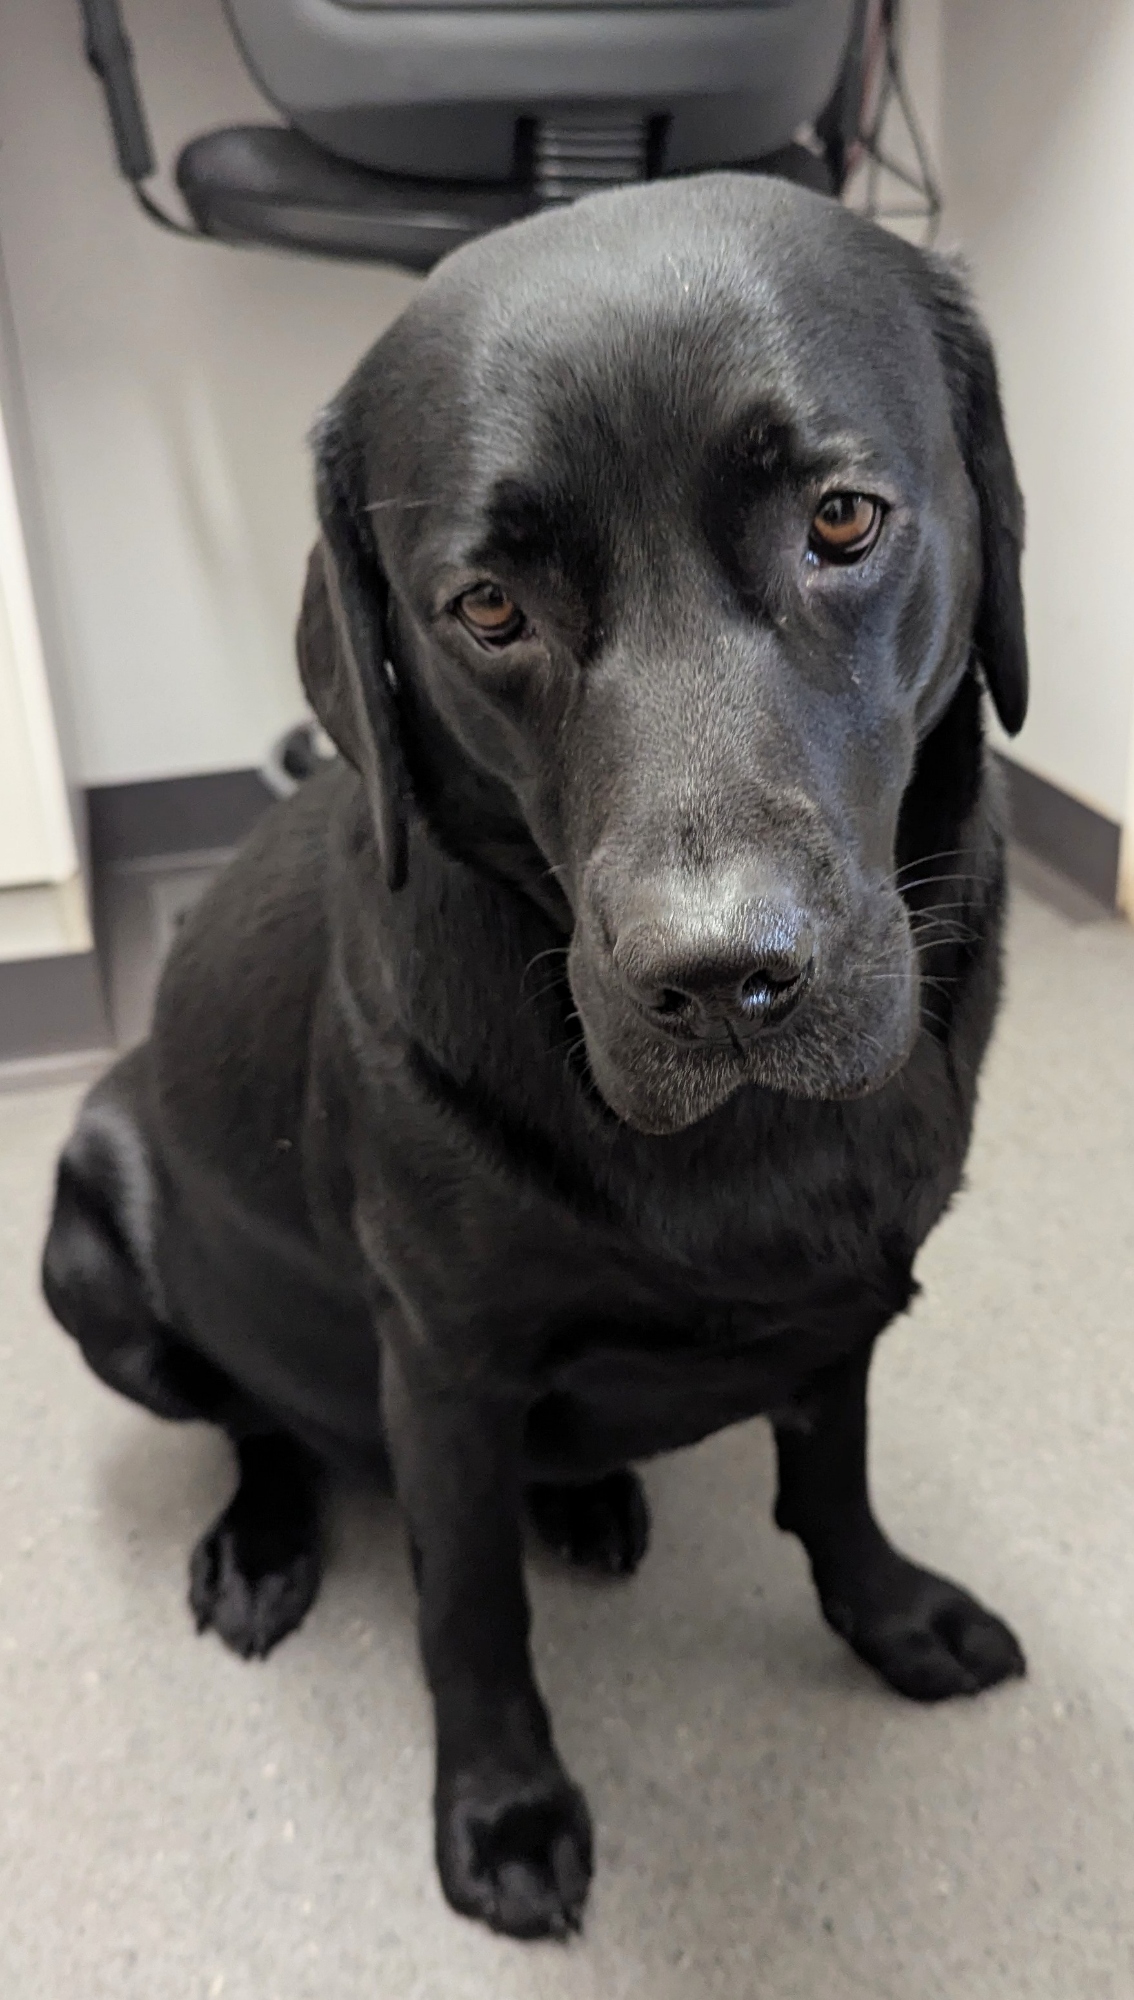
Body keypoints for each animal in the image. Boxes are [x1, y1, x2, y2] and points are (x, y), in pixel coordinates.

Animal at [43, 173, 1029, 1941]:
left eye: (842, 520)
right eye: (486, 608)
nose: (721, 982)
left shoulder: (849, 1299)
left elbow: (833, 1480)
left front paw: (891, 1618)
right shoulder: (439, 1366)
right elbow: (471, 1614)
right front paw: (501, 1810)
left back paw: (583, 1495)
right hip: (87, 1235)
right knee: (255, 1420)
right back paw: (266, 1544)